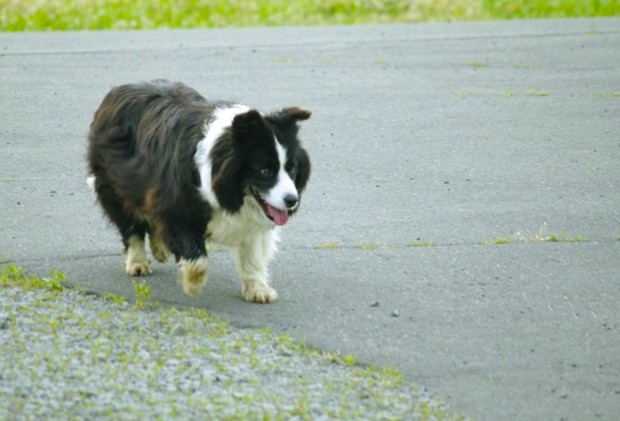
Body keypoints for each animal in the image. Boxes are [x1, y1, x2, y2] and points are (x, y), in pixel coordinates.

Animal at [87, 80, 311, 303]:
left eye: (292, 168)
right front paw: (194, 284)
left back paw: (161, 250)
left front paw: (259, 290)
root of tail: (121, 89)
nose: (292, 201)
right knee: (128, 220)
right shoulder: (178, 196)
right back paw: (138, 263)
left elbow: (252, 248)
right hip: (116, 177)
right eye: (265, 170)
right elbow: (192, 247)